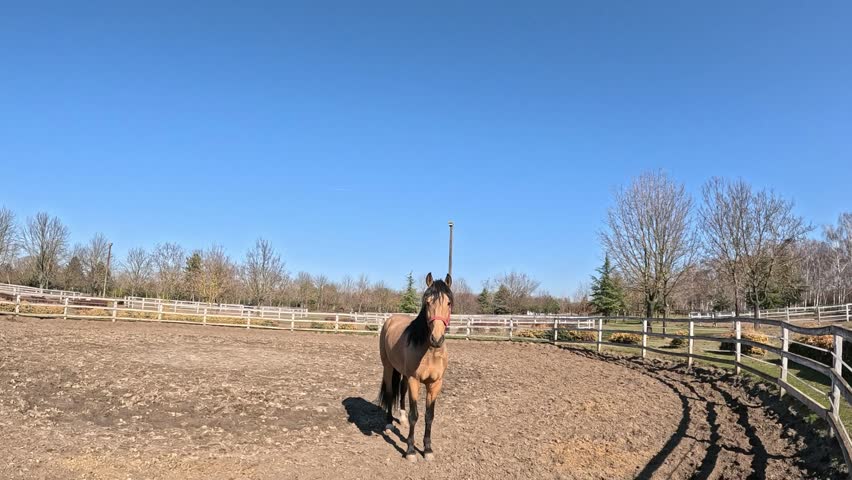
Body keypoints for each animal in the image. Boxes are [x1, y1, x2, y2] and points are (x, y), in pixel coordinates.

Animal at [378, 272, 452, 462]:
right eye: (427, 302)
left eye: (449, 303)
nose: (436, 339)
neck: (429, 352)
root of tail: (391, 319)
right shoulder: (415, 380)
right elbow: (415, 415)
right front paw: (410, 451)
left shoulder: (435, 384)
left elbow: (429, 416)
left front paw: (428, 450)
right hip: (388, 367)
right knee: (390, 392)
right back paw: (389, 422)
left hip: (403, 374)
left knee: (401, 391)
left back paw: (402, 419)